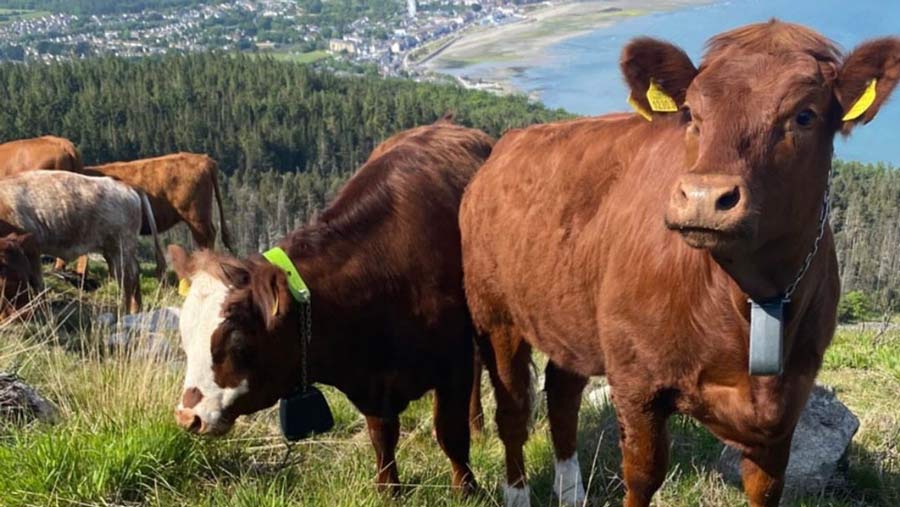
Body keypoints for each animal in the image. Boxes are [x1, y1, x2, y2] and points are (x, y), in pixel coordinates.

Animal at [0, 171, 165, 314]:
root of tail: (128, 186)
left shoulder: (32, 247)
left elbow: (37, 282)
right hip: (112, 251)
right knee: (132, 274)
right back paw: (136, 310)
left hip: (122, 247)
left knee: (128, 278)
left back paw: (125, 312)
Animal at [169, 124, 492, 496]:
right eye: (185, 337)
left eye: (237, 341)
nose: (187, 417)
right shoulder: (370, 382)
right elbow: (382, 437)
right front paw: (389, 491)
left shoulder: (453, 363)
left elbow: (451, 434)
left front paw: (467, 490)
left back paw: (479, 425)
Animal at [460, 21, 896, 507]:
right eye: (690, 113)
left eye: (805, 115)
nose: (704, 197)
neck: (750, 297)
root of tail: (506, 144)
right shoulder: (636, 384)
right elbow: (643, 475)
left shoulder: (788, 401)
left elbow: (765, 487)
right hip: (495, 315)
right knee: (514, 407)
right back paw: (518, 491)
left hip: (568, 316)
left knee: (562, 393)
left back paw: (572, 492)